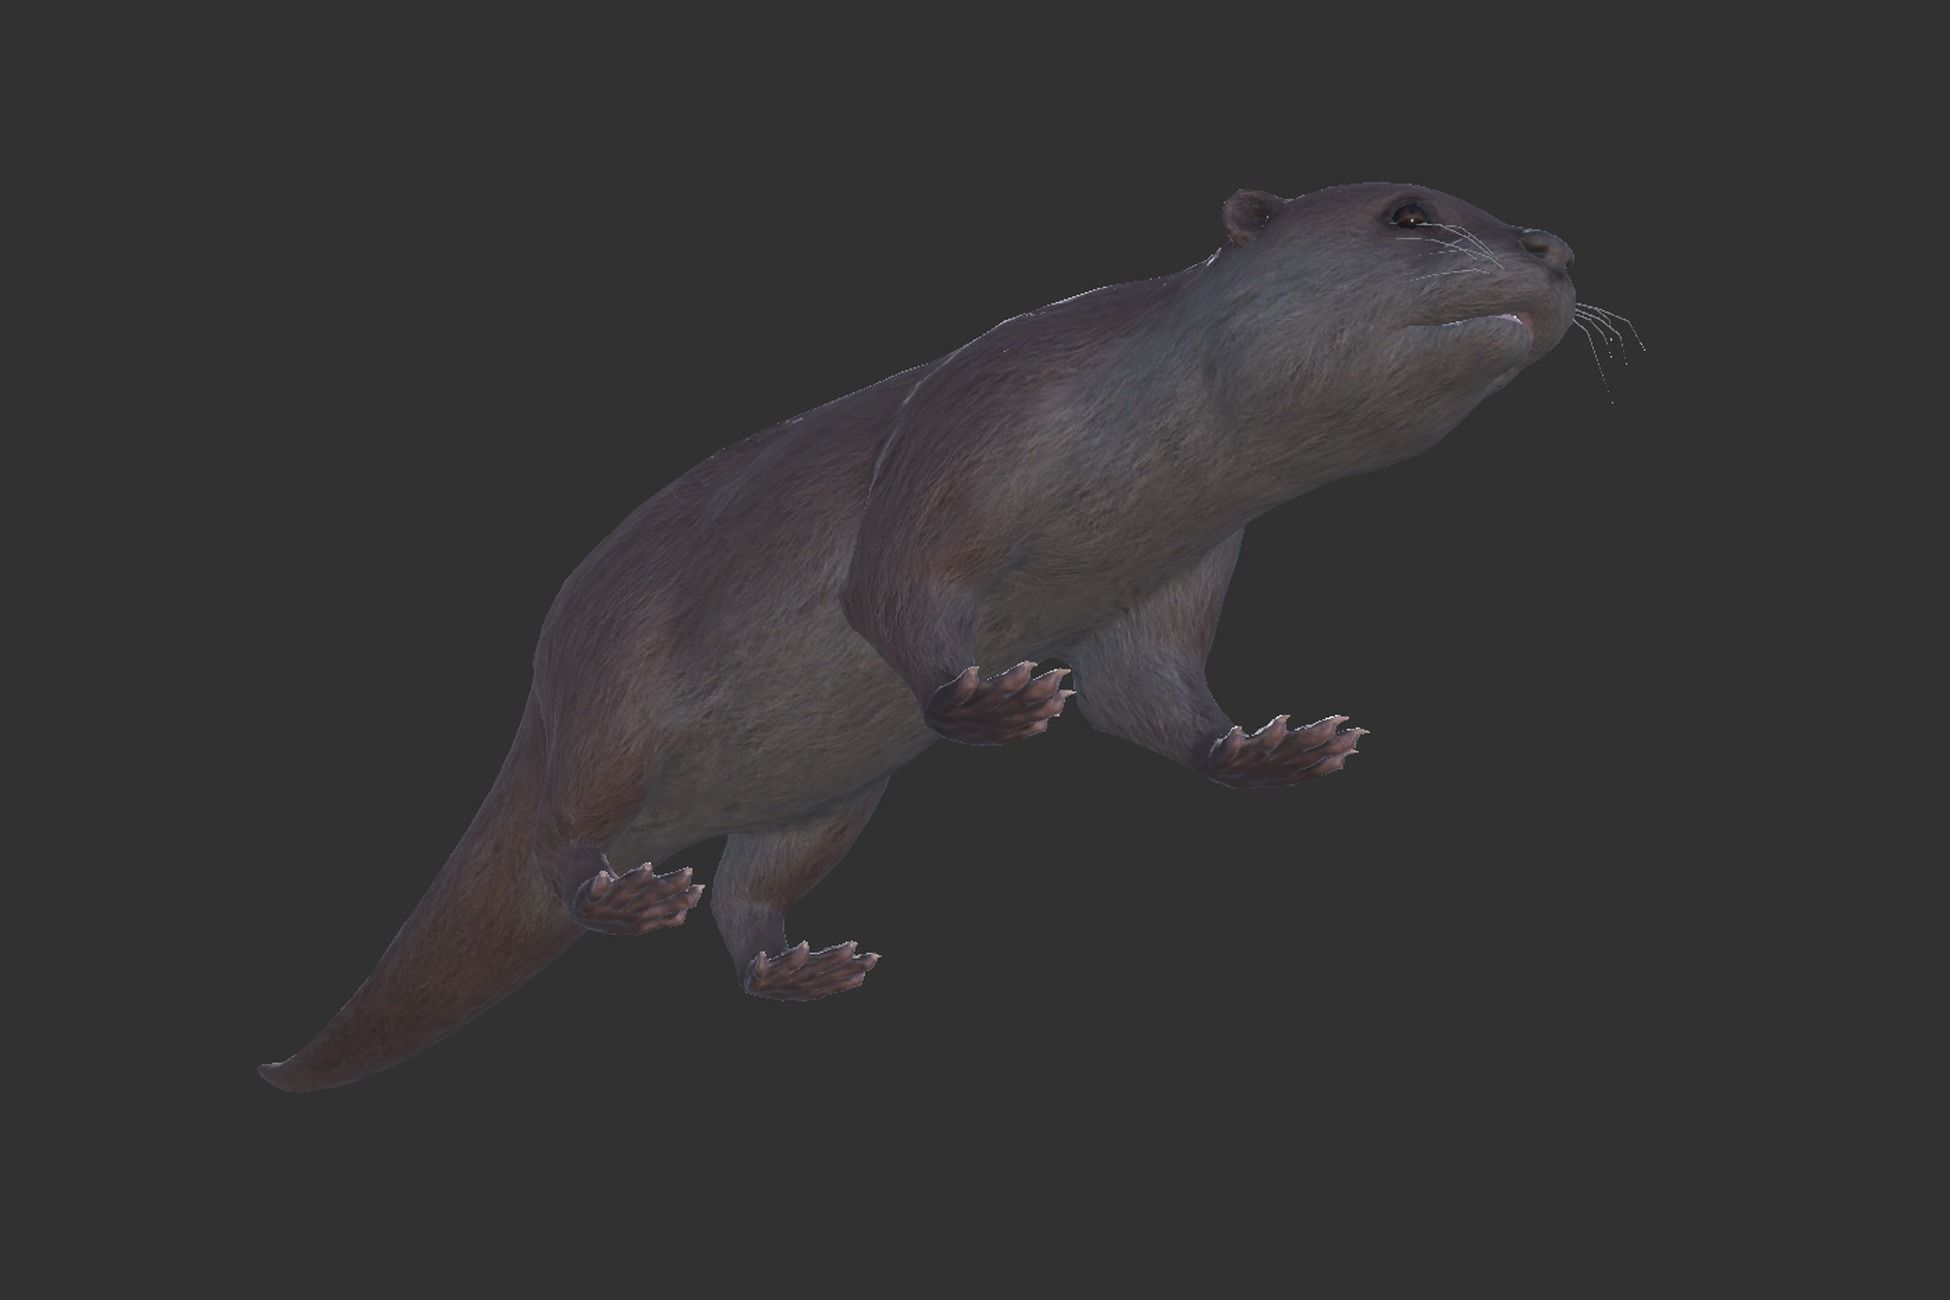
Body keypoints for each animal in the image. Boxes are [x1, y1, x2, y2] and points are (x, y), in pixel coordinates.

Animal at [259, 181, 1579, 1091]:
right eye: (1407, 213)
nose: (1553, 248)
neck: (1143, 444)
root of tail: (543, 675)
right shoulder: (977, 415)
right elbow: (889, 580)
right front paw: (983, 699)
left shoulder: (1186, 561)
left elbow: (1147, 692)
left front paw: (1268, 747)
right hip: (611, 704)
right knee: (558, 833)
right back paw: (622, 893)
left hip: (822, 802)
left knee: (750, 889)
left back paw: (794, 965)